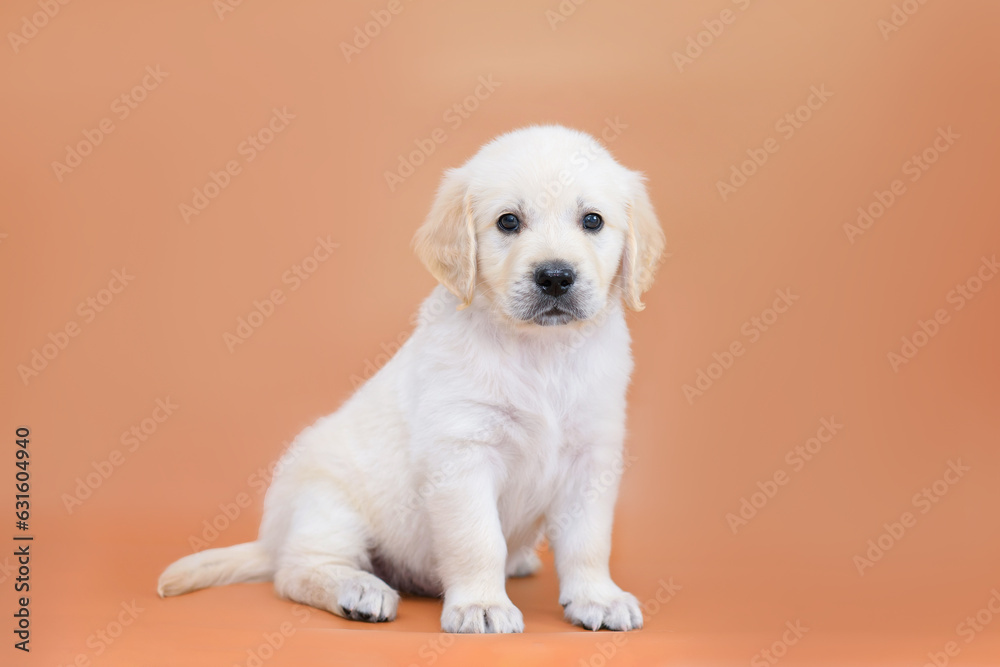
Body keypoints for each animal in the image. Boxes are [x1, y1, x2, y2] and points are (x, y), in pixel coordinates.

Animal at [158, 124, 664, 632]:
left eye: (592, 221)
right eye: (508, 222)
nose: (555, 277)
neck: (540, 352)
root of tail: (273, 540)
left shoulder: (591, 455)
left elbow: (588, 541)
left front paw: (597, 597)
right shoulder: (461, 452)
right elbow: (478, 539)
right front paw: (481, 604)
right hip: (328, 505)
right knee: (297, 571)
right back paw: (359, 589)